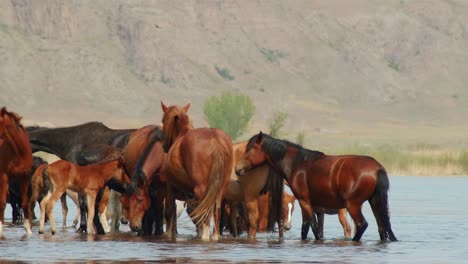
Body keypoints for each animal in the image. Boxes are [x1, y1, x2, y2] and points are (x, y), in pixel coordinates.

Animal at [0, 107, 33, 235]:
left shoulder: (24, 177)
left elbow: (25, 202)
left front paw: (28, 230)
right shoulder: (4, 176)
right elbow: (2, 203)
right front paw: (0, 229)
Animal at [162, 101, 233, 241]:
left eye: (163, 121)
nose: (164, 146)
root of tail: (215, 138)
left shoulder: (170, 186)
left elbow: (170, 212)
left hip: (202, 190)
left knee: (204, 219)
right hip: (219, 190)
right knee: (215, 213)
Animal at [236, 132, 396, 241]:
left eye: (250, 148)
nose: (237, 168)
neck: (297, 164)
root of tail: (378, 168)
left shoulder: (305, 202)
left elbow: (313, 228)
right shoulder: (310, 205)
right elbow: (306, 229)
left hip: (353, 205)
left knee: (362, 225)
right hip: (374, 202)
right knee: (382, 229)